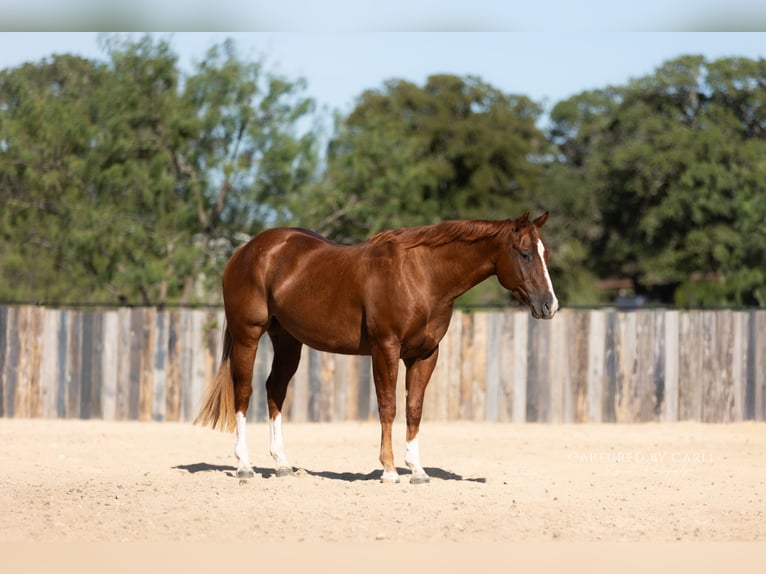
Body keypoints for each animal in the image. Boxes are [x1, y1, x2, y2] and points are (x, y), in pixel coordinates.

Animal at [194, 211, 558, 484]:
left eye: (547, 254)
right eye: (525, 253)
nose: (549, 305)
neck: (422, 276)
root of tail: (244, 251)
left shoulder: (425, 355)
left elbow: (414, 409)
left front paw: (418, 470)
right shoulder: (386, 348)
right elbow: (388, 407)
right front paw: (390, 470)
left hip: (287, 341)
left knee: (275, 390)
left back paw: (282, 465)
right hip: (248, 335)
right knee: (244, 392)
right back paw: (244, 467)